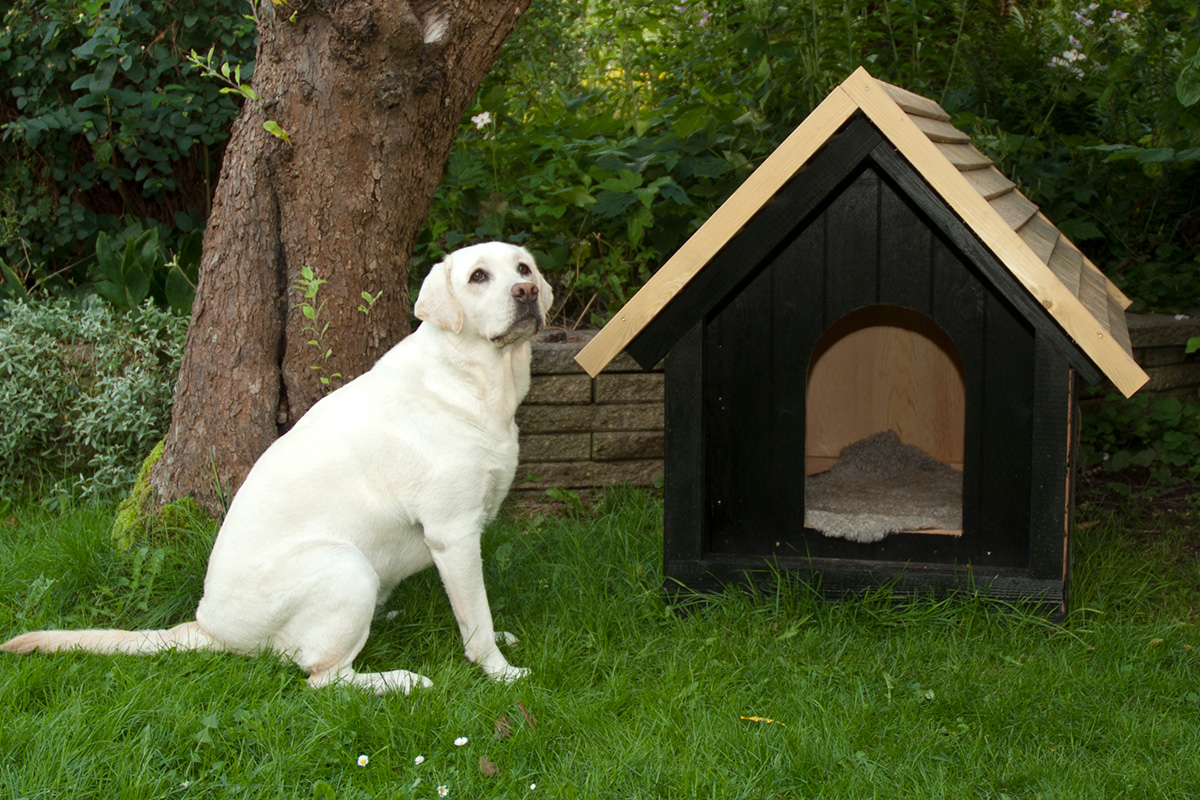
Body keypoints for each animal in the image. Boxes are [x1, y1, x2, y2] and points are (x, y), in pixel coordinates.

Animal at [1, 242, 552, 694]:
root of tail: (207, 628)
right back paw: (402, 681)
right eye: (478, 276)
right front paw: (500, 672)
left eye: (523, 268)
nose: (526, 292)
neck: (474, 380)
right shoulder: (453, 533)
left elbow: (473, 611)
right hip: (345, 564)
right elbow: (476, 619)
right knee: (323, 677)